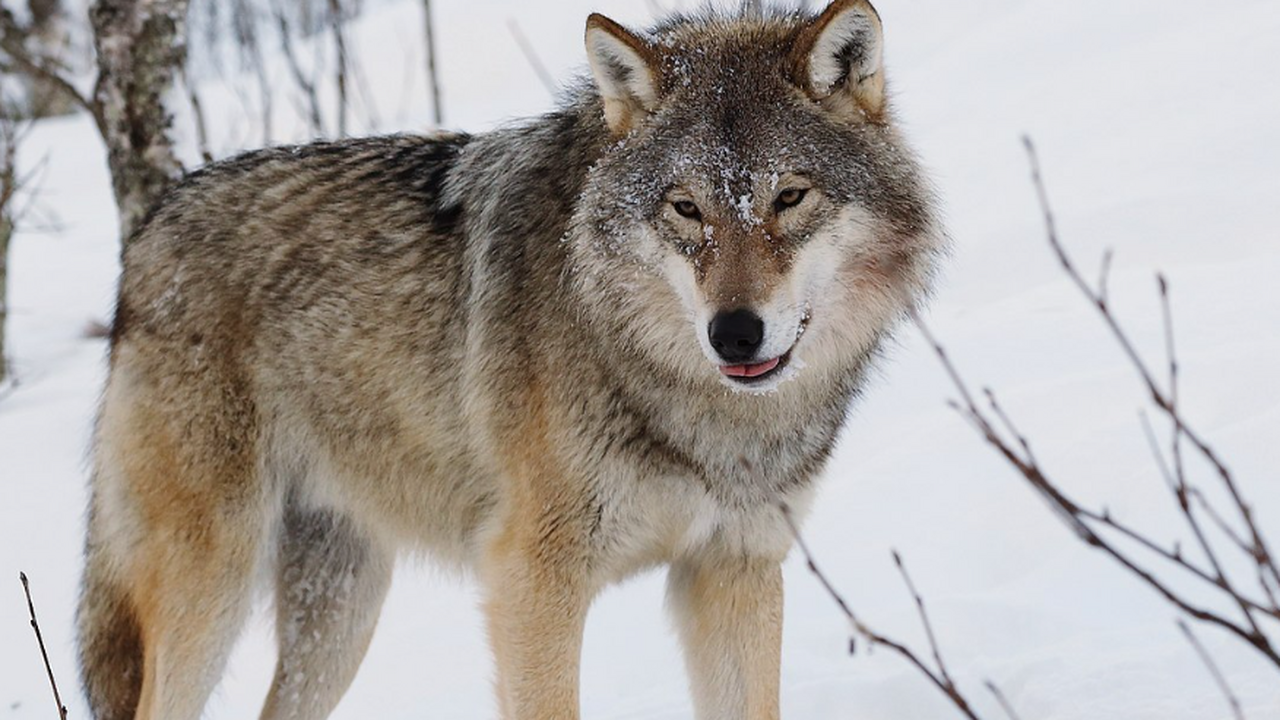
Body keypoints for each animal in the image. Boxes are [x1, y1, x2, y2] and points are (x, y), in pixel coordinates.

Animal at [77, 1, 942, 717]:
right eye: (686, 209)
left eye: (789, 197)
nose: (734, 333)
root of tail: (150, 228)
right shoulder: (532, 581)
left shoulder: (735, 569)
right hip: (212, 586)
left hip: (341, 611)